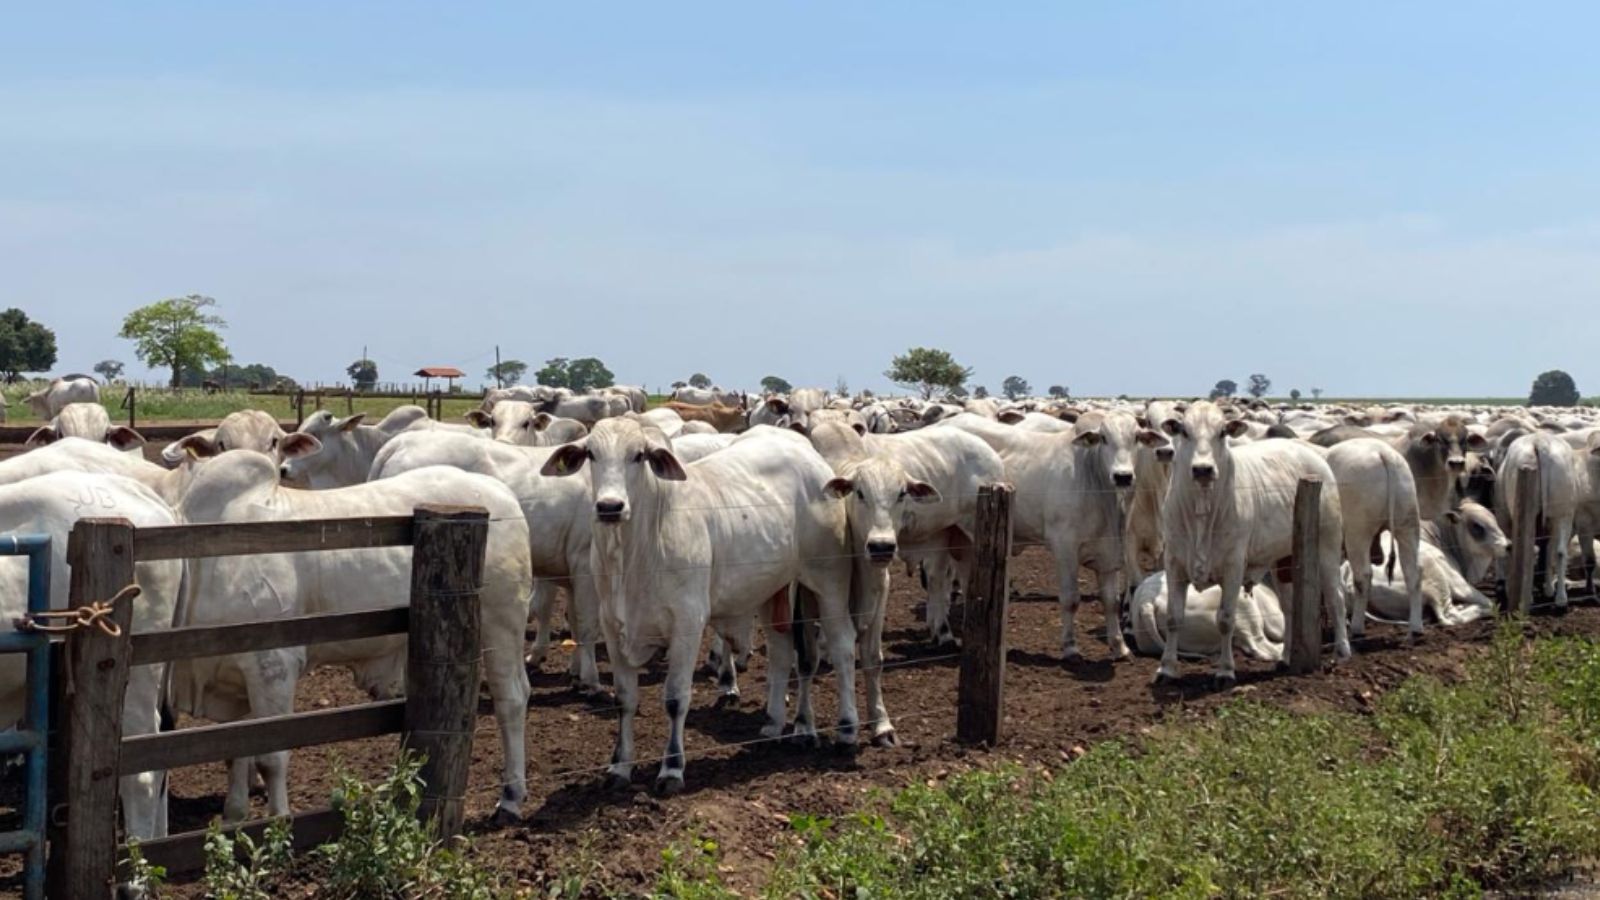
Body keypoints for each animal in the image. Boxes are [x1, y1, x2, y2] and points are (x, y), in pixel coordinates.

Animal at [176, 451, 531, 826]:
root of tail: (499, 491)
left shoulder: (273, 667)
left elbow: (270, 760)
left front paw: (278, 823)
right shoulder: (232, 678)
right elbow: (234, 752)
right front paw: (233, 818)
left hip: (501, 621)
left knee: (511, 698)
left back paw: (511, 797)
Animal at [540, 416, 864, 787]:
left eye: (639, 455)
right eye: (591, 453)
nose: (610, 507)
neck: (633, 555)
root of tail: (809, 456)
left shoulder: (687, 623)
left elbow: (675, 698)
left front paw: (672, 768)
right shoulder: (613, 627)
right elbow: (624, 700)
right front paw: (620, 767)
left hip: (829, 582)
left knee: (842, 647)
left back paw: (846, 730)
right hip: (772, 590)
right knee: (783, 654)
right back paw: (774, 725)